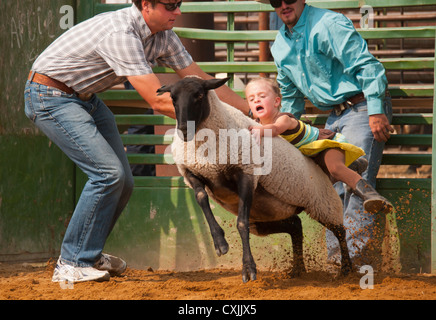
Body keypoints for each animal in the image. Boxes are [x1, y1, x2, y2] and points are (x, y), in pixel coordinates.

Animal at [158, 77, 352, 282]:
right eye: (172, 98)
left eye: (200, 95)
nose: (183, 130)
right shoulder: (191, 172)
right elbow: (202, 198)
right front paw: (220, 242)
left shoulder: (247, 174)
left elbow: (241, 224)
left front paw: (248, 268)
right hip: (267, 215)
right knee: (295, 226)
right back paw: (297, 270)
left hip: (323, 204)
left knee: (340, 231)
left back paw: (346, 270)